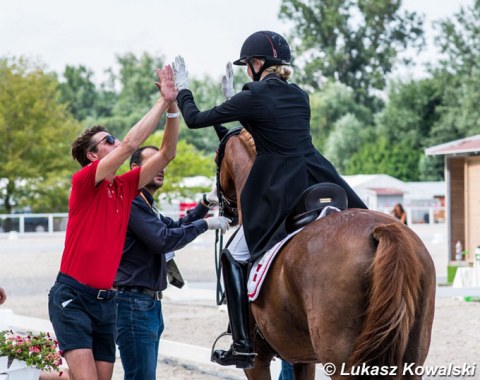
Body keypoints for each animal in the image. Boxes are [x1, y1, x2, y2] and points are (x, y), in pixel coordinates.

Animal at [216, 128, 436, 380]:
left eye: (216, 158)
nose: (226, 211)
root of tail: (381, 230)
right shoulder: (302, 358)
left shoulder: (257, 361)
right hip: (412, 355)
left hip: (341, 359)